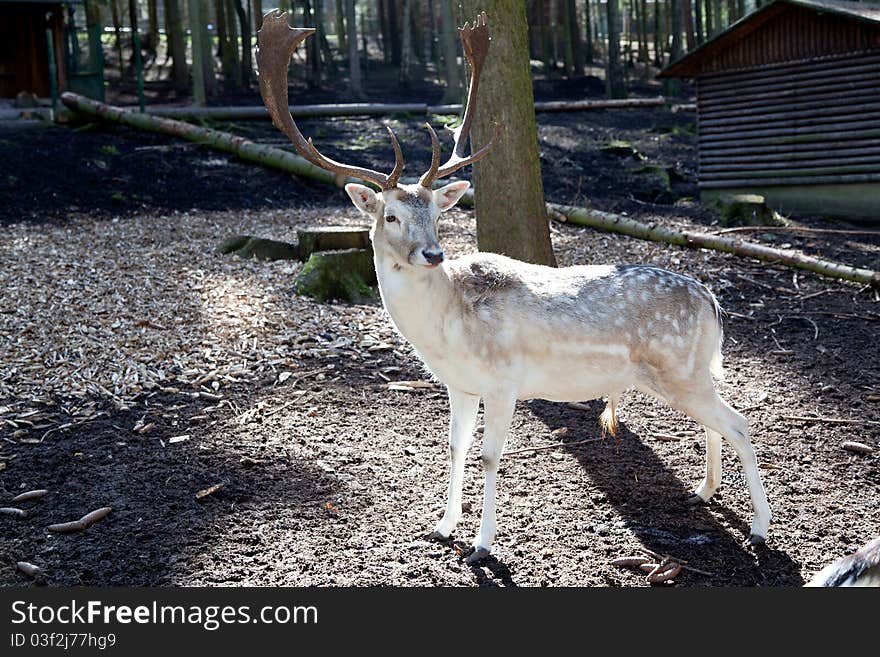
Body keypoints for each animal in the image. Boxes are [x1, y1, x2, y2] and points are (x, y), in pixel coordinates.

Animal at [256, 9, 768, 564]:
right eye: (390, 215)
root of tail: (712, 300)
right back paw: (704, 492)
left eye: (437, 212)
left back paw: (760, 528)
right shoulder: (459, 384)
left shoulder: (505, 381)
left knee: (740, 422)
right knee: (718, 421)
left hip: (679, 369)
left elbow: (488, 455)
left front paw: (482, 545)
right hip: (687, 372)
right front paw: (442, 526)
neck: (445, 329)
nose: (433, 254)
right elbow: (455, 446)